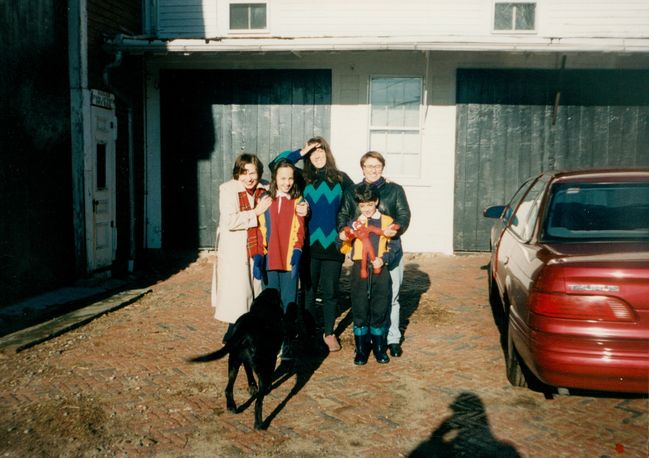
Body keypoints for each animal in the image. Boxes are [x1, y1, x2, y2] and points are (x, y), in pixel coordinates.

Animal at [190, 290, 286, 430]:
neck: (264, 307)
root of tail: (243, 329)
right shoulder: (271, 357)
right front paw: (266, 386)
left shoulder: (244, 359)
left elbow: (248, 371)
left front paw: (252, 387)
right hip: (258, 366)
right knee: (258, 402)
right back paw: (259, 423)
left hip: (233, 362)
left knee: (228, 389)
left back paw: (232, 406)